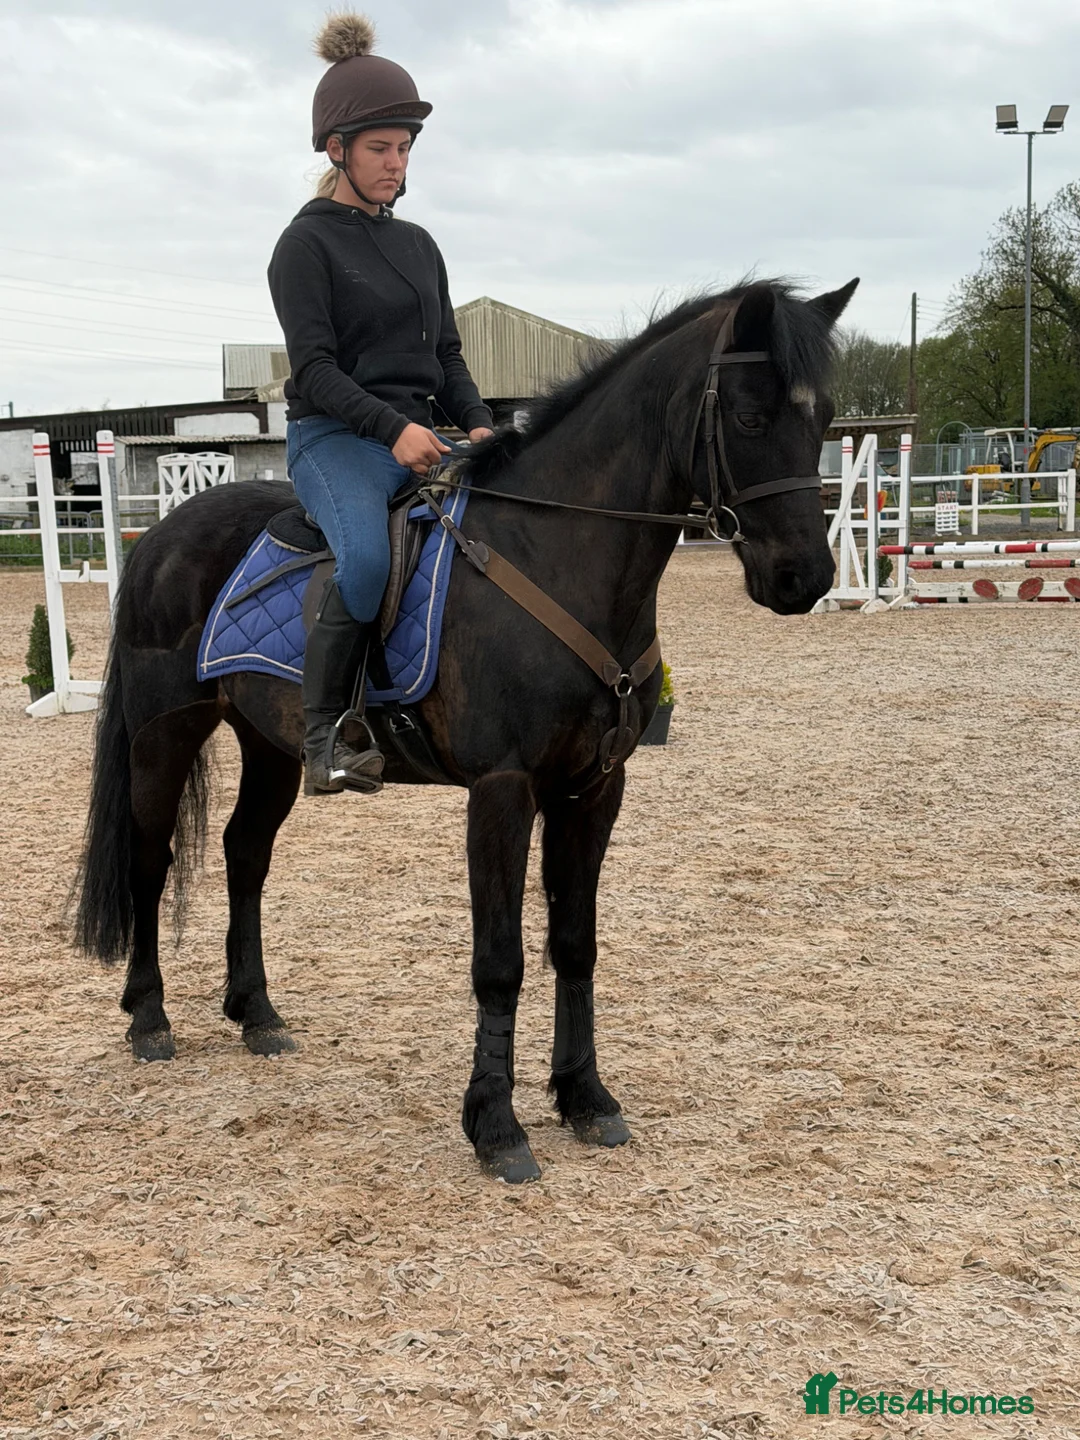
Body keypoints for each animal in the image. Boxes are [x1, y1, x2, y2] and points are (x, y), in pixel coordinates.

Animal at [73, 277, 856, 1183]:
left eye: (824, 416)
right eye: (752, 417)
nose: (805, 578)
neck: (558, 553)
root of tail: (160, 536)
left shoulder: (595, 790)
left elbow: (575, 943)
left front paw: (586, 1099)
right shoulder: (503, 790)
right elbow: (500, 961)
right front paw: (497, 1126)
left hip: (269, 744)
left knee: (245, 855)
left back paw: (256, 1013)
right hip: (164, 735)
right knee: (150, 858)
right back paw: (149, 1018)